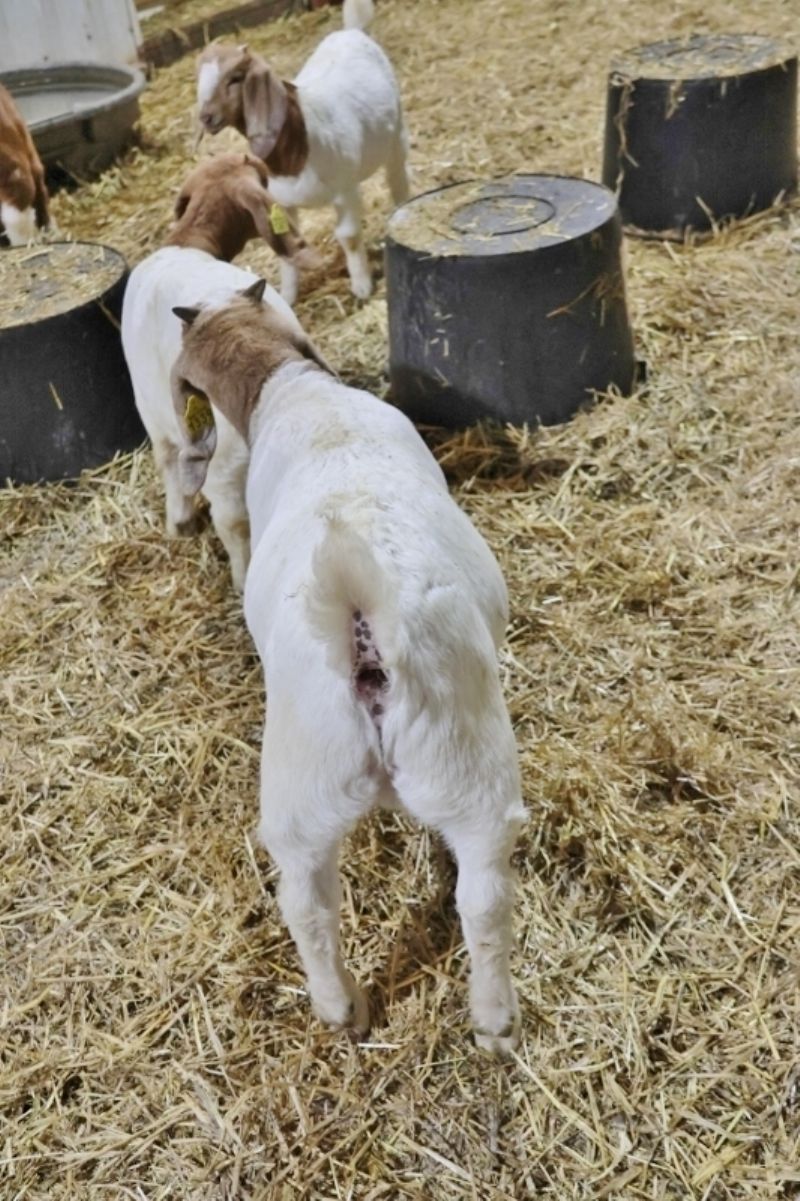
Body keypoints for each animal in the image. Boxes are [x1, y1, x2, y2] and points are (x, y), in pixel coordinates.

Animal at [121, 152, 314, 588]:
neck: (188, 242)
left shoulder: (151, 412)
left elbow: (167, 462)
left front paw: (179, 524)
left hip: (222, 465)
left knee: (234, 523)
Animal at [169, 281, 523, 1052]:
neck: (296, 392)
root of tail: (357, 602)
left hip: (318, 787)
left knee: (319, 900)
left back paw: (367, 1010)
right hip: (460, 762)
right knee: (470, 898)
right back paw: (471, 1019)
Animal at [192, 1, 406, 299]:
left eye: (235, 78)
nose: (206, 118)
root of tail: (352, 31)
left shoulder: (346, 191)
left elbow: (349, 237)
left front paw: (362, 287)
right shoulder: (281, 202)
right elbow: (285, 250)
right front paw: (288, 296)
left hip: (397, 133)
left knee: (398, 179)